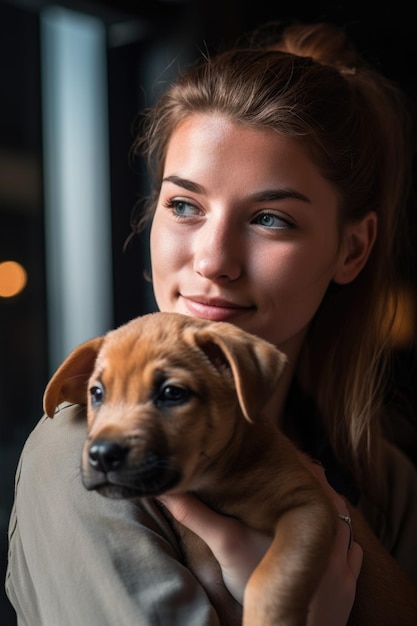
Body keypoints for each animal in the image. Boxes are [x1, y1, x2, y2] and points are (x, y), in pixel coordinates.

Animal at [44, 310, 414, 620]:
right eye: (97, 393)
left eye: (172, 393)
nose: (103, 454)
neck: (218, 482)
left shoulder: (309, 508)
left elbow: (273, 577)